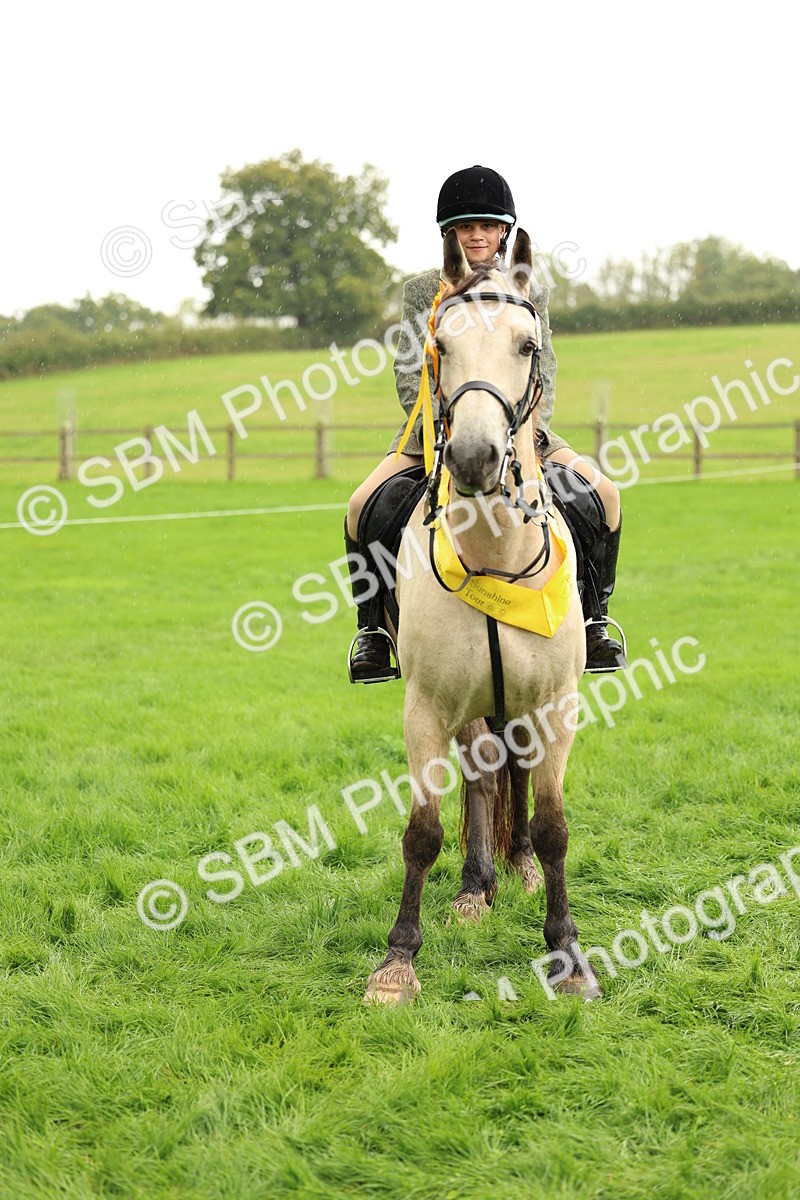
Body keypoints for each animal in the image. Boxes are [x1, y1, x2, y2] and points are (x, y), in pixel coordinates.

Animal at [363, 227, 600, 1004]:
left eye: (529, 345)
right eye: (439, 342)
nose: (472, 456)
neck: (495, 550)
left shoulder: (556, 703)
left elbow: (554, 826)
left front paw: (568, 954)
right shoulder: (428, 708)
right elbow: (422, 831)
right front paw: (397, 963)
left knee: (512, 775)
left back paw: (516, 869)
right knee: (483, 775)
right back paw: (475, 888)